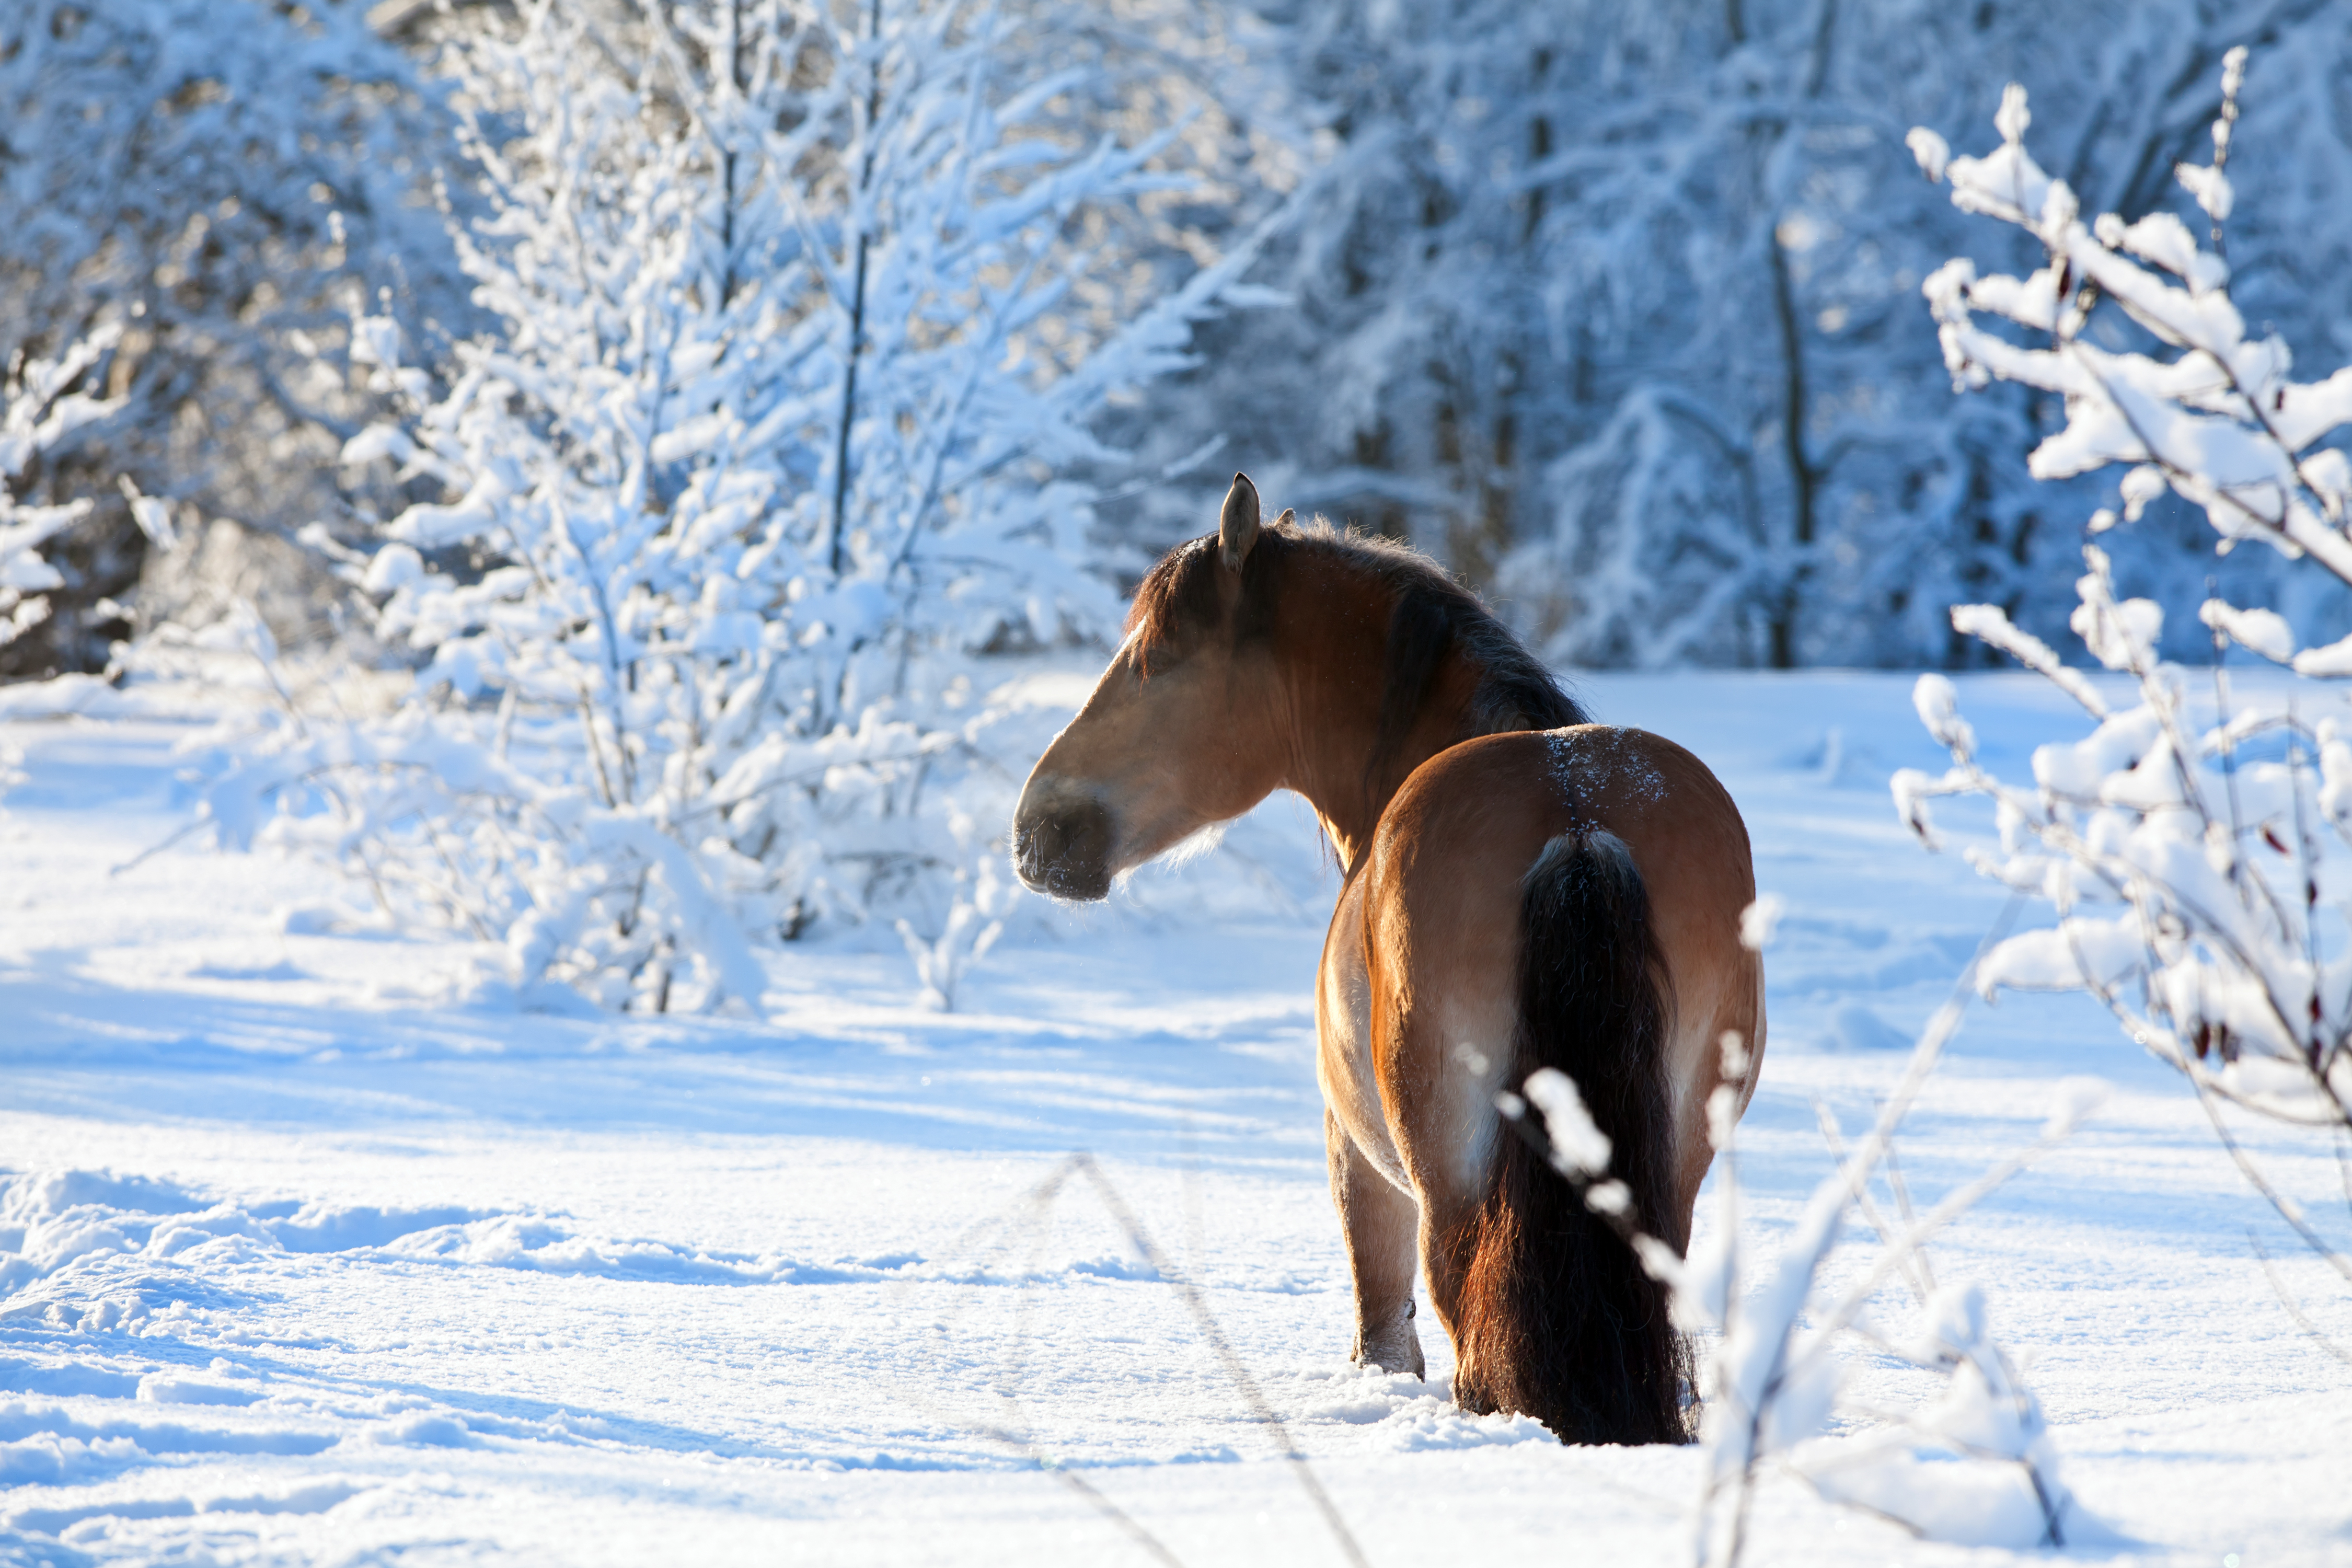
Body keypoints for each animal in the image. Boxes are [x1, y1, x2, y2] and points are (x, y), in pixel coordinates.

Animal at [1011, 479, 1769, 1448]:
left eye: (1155, 657)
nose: (1039, 830)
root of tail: (1578, 823)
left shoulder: (1356, 1157)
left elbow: (1384, 1331)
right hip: (1675, 1159)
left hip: (1441, 1173)